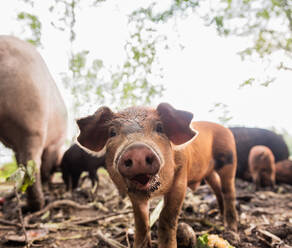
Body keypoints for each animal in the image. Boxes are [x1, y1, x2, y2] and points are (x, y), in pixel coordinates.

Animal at [0, 35, 67, 211]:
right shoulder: (54, 144)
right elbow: (46, 168)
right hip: (33, 123)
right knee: (32, 163)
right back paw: (37, 205)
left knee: (24, 164)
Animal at [76, 103, 238, 248]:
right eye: (112, 133)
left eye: (160, 128)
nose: (137, 150)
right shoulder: (133, 193)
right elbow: (141, 221)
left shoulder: (181, 176)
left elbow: (167, 216)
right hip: (209, 172)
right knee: (217, 188)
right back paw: (220, 215)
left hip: (229, 158)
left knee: (228, 190)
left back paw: (230, 226)